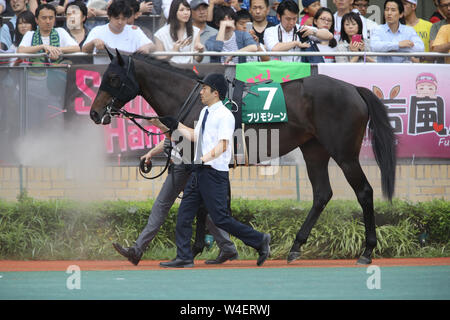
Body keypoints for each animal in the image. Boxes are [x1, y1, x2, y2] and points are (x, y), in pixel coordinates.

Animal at [89, 51, 396, 264]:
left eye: (114, 78)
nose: (94, 113)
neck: (194, 100)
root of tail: (353, 89)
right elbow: (205, 206)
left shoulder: (197, 161)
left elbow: (200, 206)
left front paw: (197, 249)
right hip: (314, 151)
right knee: (322, 194)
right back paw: (296, 247)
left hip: (344, 154)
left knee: (364, 192)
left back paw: (367, 251)